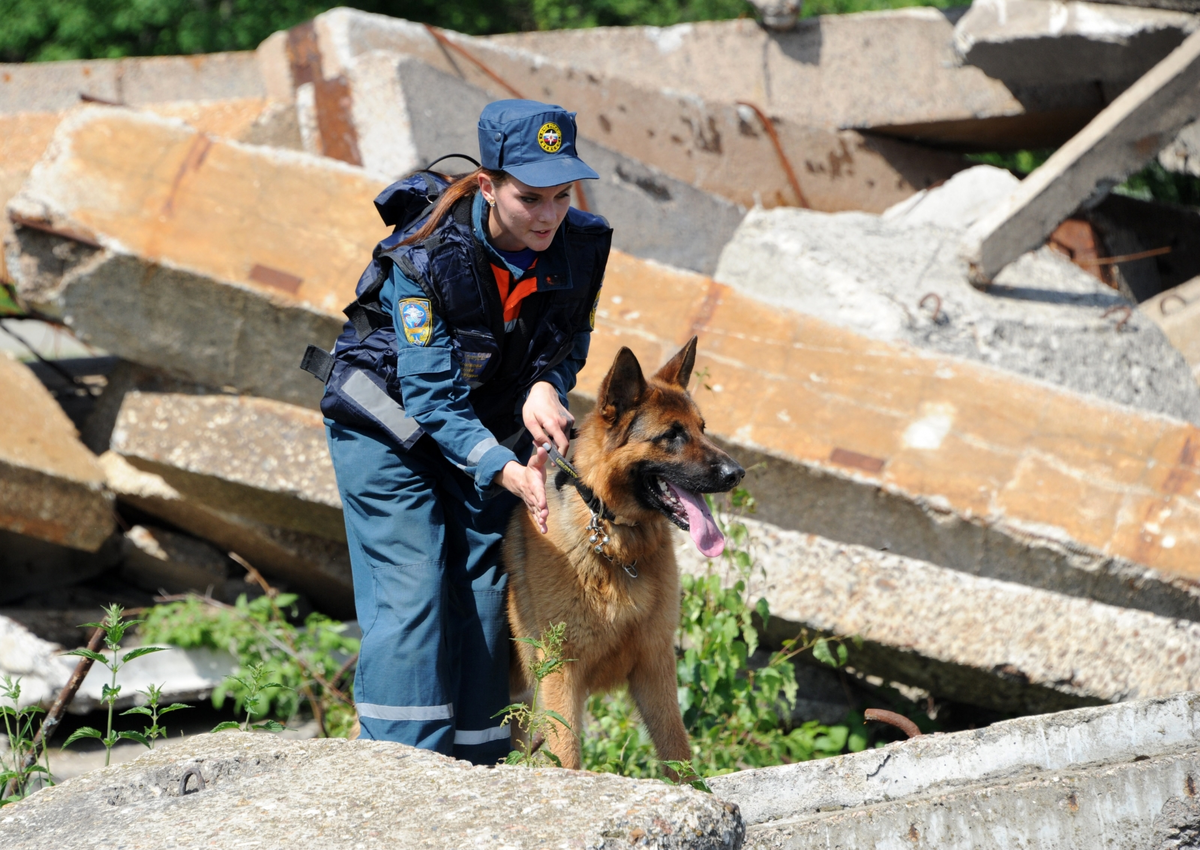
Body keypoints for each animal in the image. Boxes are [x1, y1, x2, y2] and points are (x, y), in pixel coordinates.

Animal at [501, 336, 744, 768]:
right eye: (672, 435)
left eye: (702, 429)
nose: (737, 473)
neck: (614, 543)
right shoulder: (561, 677)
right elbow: (568, 756)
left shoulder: (655, 667)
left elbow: (678, 752)